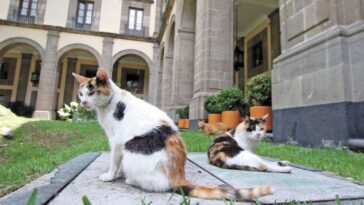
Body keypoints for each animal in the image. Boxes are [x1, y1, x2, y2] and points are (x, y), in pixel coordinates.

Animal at [72, 69, 272, 201]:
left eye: (92, 91)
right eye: (81, 94)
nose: (83, 102)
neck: (109, 105)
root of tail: (178, 177)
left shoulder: (116, 141)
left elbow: (114, 160)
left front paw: (110, 176)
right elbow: (118, 162)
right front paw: (118, 173)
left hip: (132, 149)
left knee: (155, 185)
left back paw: (130, 179)